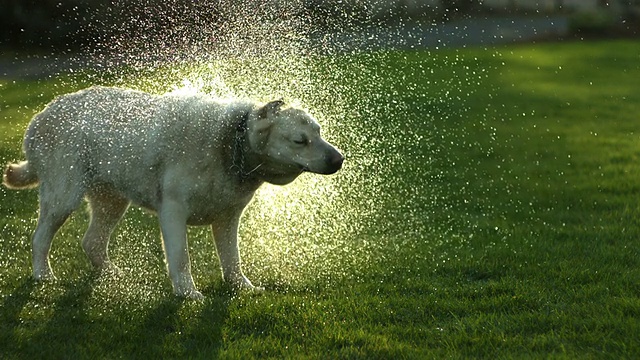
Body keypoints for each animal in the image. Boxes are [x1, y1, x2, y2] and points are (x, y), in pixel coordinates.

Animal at [3, 86, 344, 300]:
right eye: (300, 140)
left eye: (319, 133)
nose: (339, 159)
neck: (231, 144)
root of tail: (39, 116)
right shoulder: (173, 211)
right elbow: (181, 258)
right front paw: (188, 294)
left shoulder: (228, 217)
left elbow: (232, 259)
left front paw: (242, 288)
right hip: (64, 195)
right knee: (40, 237)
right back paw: (43, 276)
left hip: (112, 200)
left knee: (92, 241)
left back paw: (112, 274)